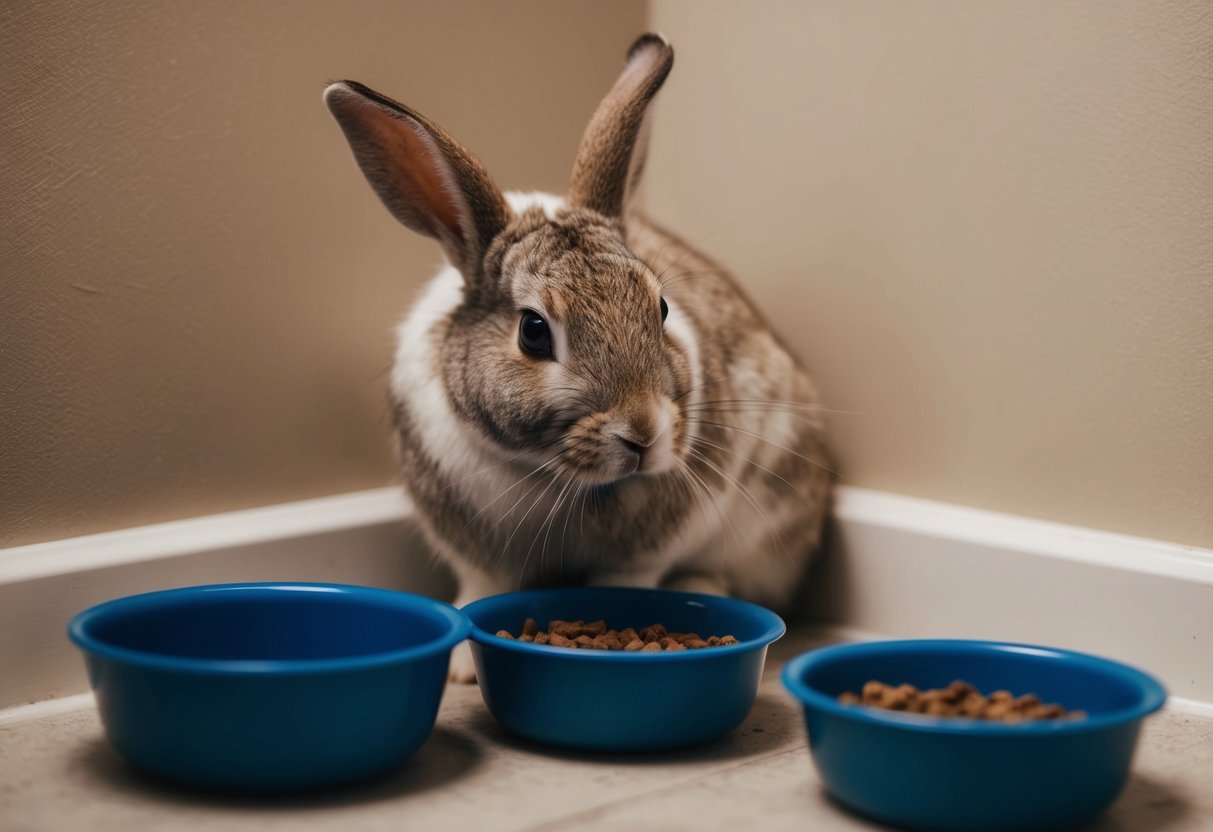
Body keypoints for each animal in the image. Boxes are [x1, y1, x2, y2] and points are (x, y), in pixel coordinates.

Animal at [324, 33, 832, 682]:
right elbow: (479, 591)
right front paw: (463, 669)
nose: (643, 434)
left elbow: (627, 581)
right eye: (533, 332)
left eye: (661, 307)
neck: (552, 473)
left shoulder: (647, 552)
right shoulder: (475, 556)